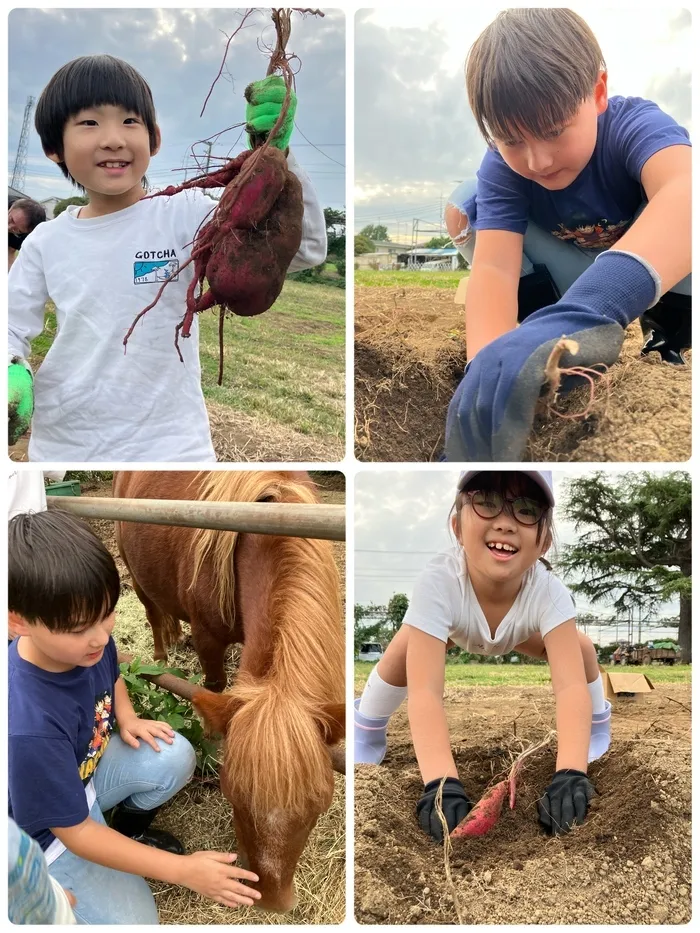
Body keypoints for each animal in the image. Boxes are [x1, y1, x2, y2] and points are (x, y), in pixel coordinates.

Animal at [113, 470, 346, 908]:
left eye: (318, 806)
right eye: (232, 797)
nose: (271, 901)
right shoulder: (209, 640)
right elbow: (214, 688)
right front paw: (208, 746)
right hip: (136, 576)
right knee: (154, 615)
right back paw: (162, 658)